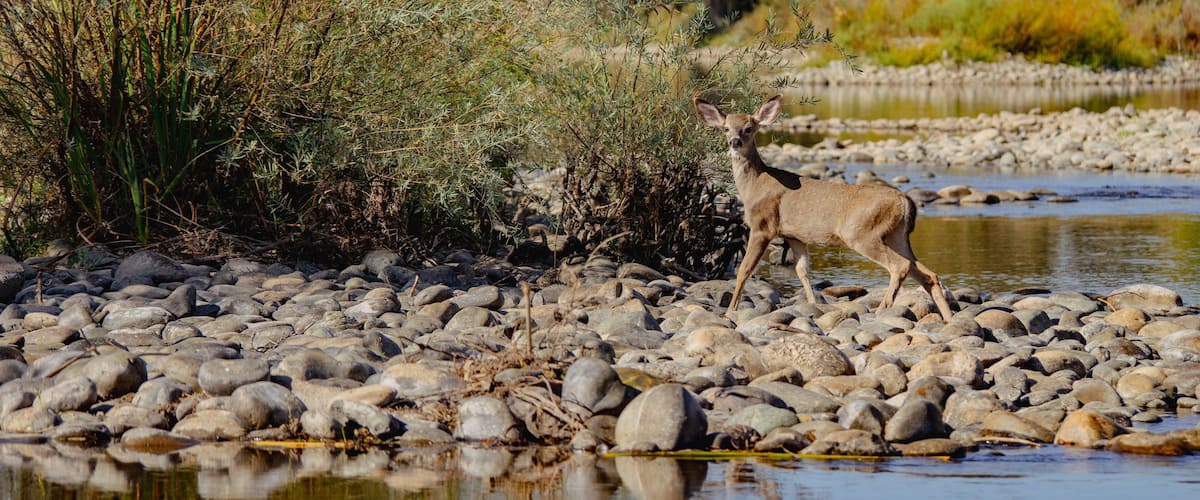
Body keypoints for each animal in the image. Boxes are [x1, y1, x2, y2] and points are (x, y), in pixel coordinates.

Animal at [694, 95, 955, 321]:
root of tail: (904, 200)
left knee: (900, 266)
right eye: (726, 128)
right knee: (927, 273)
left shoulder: (763, 226)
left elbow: (744, 269)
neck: (754, 185)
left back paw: (883, 309)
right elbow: (802, 270)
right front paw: (813, 305)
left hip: (861, 232)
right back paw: (948, 318)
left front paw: (730, 311)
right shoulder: (795, 235)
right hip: (897, 235)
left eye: (749, 128)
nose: (734, 142)